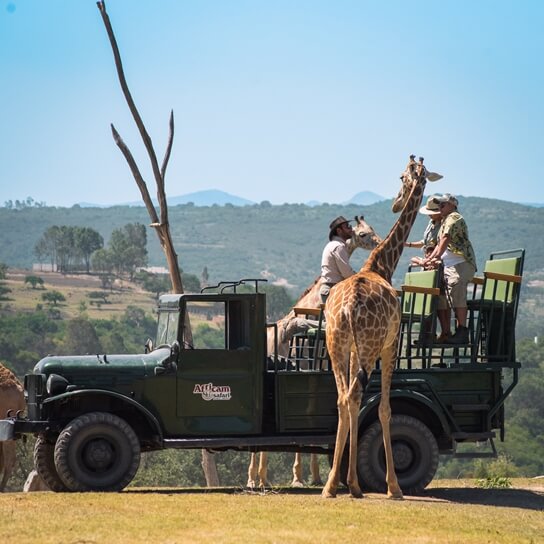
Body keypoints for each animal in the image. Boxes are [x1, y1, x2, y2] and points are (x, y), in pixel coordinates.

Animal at [249, 214, 380, 488]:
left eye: (370, 228)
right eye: (362, 233)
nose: (378, 242)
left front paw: (314, 476)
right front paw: (301, 477)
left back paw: (258, 478)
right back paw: (257, 479)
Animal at [324, 155, 442, 500]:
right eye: (402, 176)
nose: (395, 203)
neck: (380, 265)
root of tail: (349, 307)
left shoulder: (353, 350)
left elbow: (356, 404)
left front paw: (352, 480)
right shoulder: (390, 345)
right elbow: (385, 409)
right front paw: (393, 486)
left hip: (336, 344)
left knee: (343, 398)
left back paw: (332, 486)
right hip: (371, 346)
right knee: (353, 396)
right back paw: (347, 485)